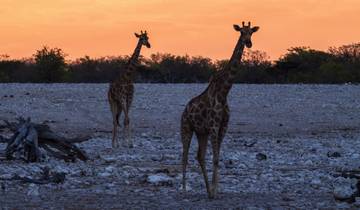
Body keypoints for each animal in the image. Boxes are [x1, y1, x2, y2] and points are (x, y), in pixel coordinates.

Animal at [180, 21, 258, 199]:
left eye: (251, 32)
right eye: (241, 32)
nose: (248, 43)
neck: (224, 93)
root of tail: (185, 110)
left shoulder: (222, 127)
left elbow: (217, 157)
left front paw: (216, 190)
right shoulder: (214, 127)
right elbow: (215, 158)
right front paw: (215, 191)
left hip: (201, 132)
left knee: (199, 156)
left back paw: (207, 191)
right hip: (186, 128)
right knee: (184, 156)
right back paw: (184, 189)